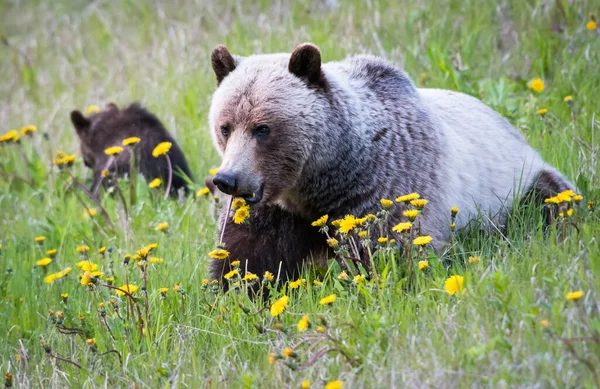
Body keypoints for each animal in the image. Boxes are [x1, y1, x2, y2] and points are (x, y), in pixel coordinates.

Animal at [207, 43, 576, 282]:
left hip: (518, 184)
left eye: (263, 128)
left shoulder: (388, 187)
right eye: (225, 126)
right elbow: (247, 257)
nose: (228, 179)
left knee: (551, 202)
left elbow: (392, 249)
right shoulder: (275, 211)